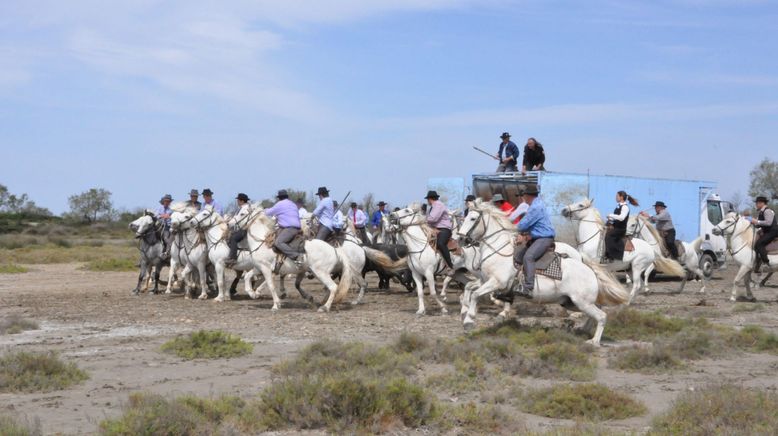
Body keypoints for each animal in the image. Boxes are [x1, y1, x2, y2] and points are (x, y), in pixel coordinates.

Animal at [458, 201, 628, 344]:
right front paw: (464, 311)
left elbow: (475, 294)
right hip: (571, 302)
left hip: (582, 302)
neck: (499, 249)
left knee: (602, 316)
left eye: (472, 218)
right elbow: (470, 288)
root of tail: (589, 269)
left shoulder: (497, 282)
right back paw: (583, 329)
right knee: (597, 312)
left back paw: (593, 341)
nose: (460, 239)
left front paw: (469, 321)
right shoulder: (485, 281)